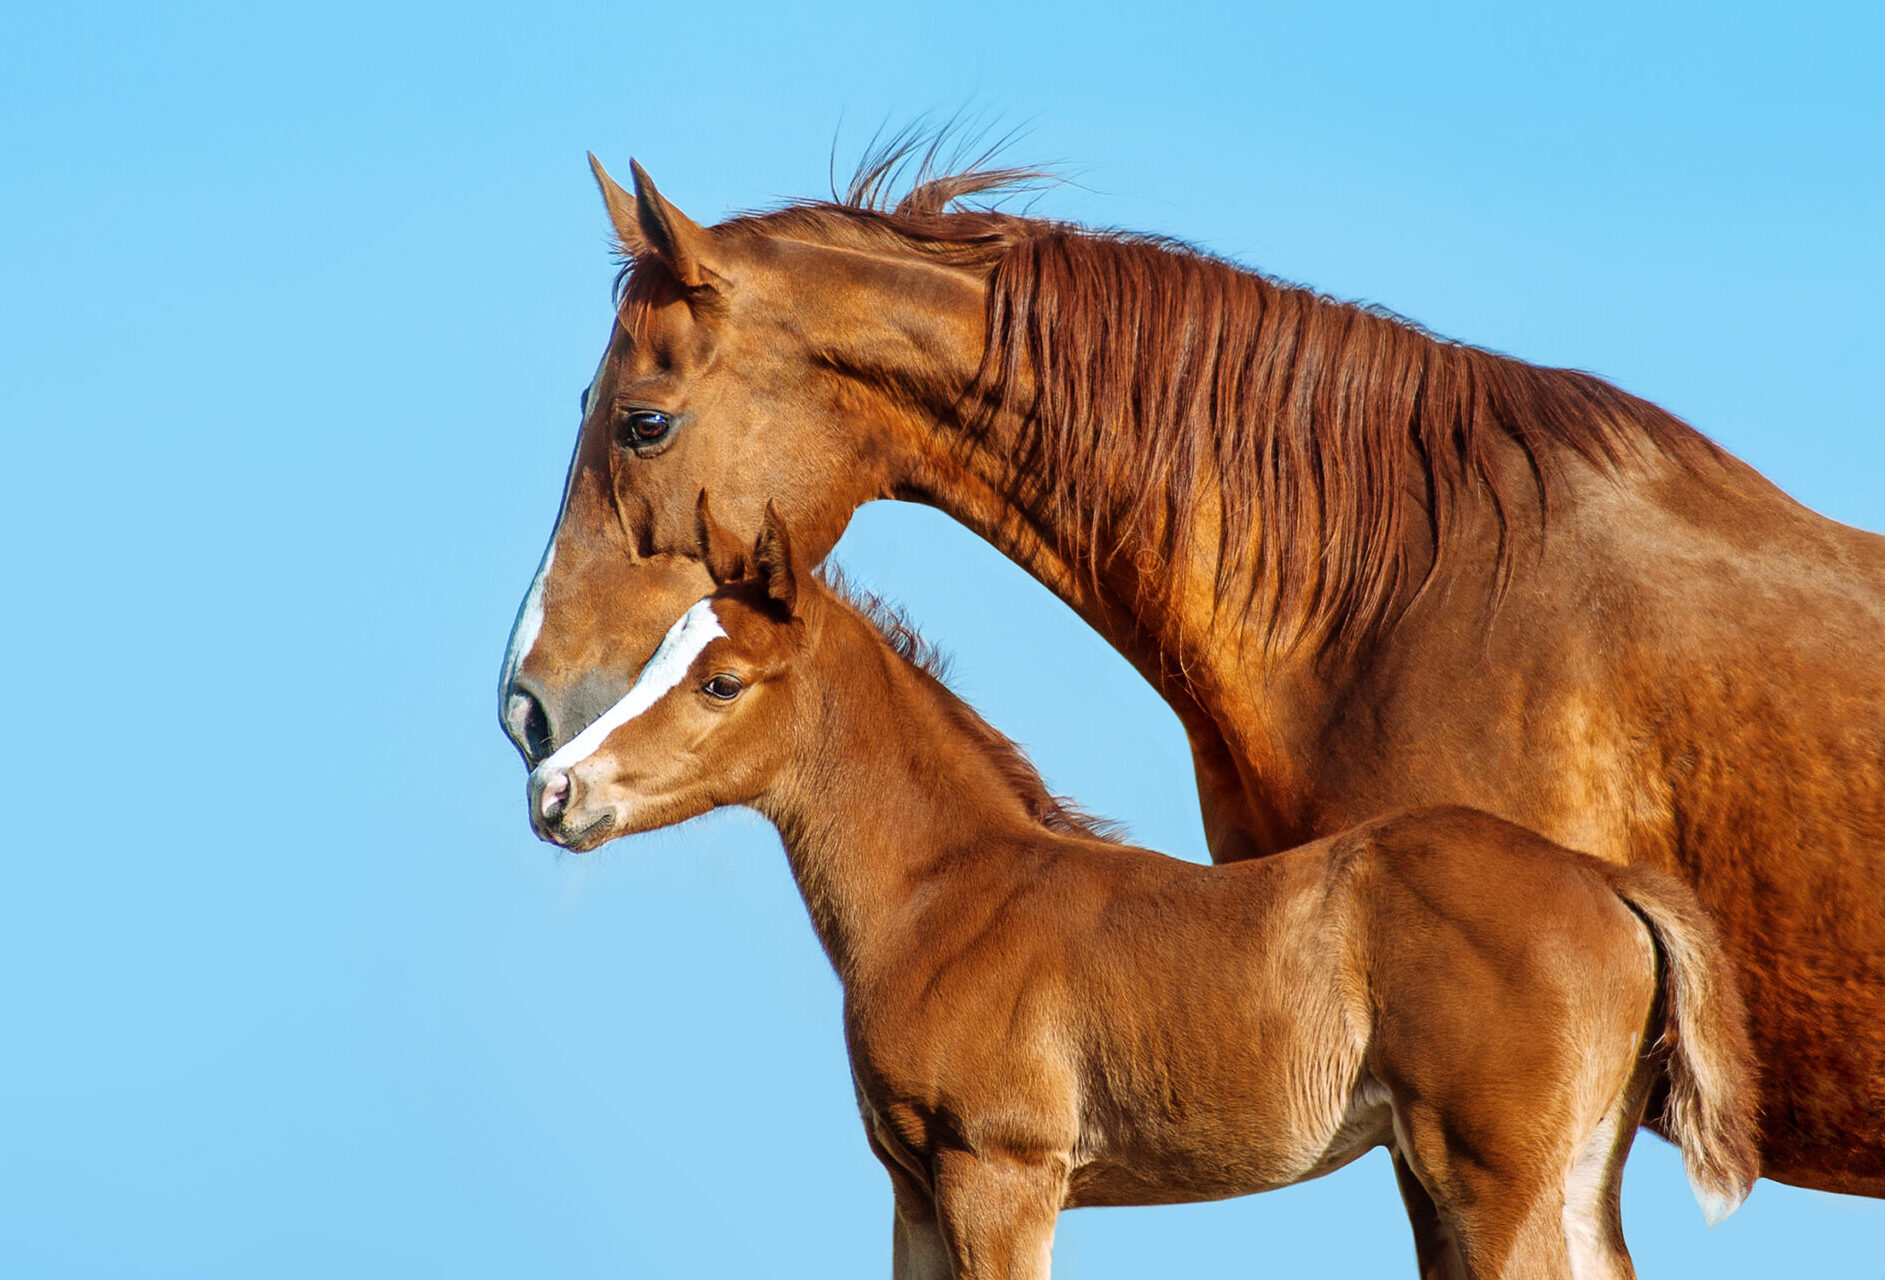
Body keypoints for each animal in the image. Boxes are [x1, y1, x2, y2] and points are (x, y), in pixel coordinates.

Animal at [524, 497, 1761, 1280]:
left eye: (721, 680)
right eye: (660, 654)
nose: (553, 788)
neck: (949, 892)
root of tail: (1603, 879)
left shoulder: (1000, 1175)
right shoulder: (914, 1191)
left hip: (1493, 1176)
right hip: (1576, 1169)